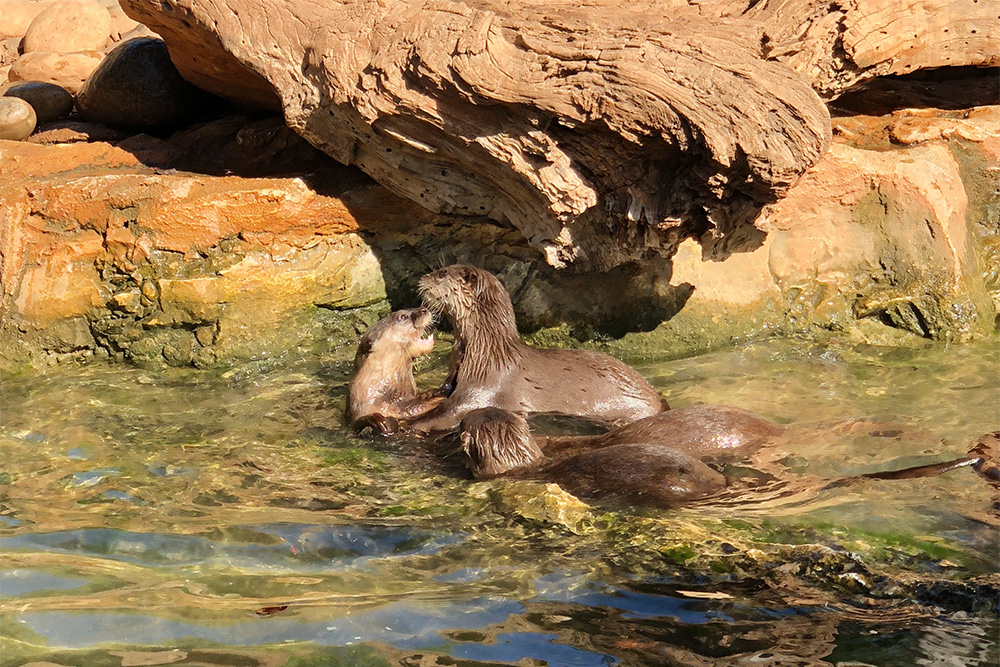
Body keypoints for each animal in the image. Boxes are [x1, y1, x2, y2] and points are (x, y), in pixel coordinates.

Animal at [406, 266, 664, 434]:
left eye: (441, 273)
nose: (422, 277)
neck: (485, 352)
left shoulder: (484, 388)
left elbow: (452, 412)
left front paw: (411, 425)